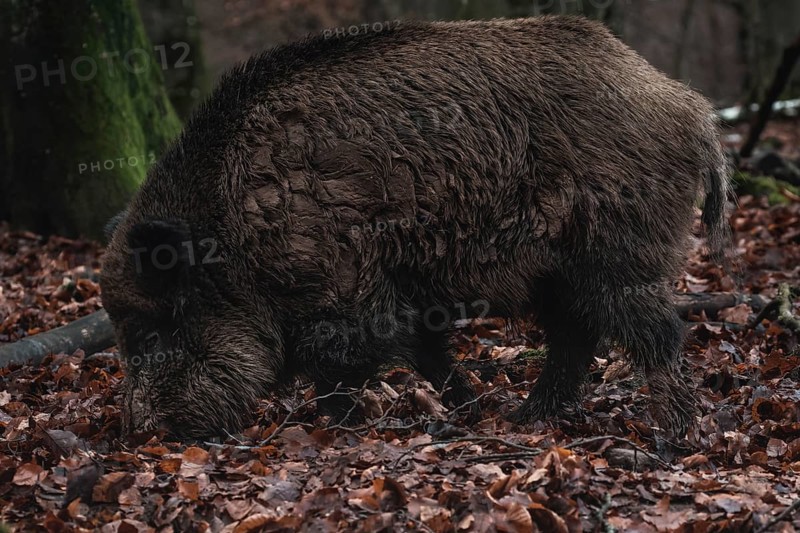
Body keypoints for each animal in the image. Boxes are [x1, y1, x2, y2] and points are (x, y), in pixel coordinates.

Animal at [100, 16, 730, 439]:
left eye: (149, 332)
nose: (140, 433)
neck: (235, 228)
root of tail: (692, 108)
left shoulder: (345, 292)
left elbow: (335, 363)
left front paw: (343, 430)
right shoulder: (400, 294)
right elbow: (428, 352)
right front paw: (466, 410)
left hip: (617, 249)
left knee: (655, 333)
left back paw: (672, 437)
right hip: (556, 272)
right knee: (575, 338)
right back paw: (524, 418)